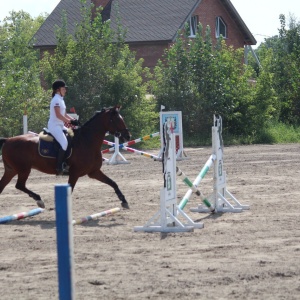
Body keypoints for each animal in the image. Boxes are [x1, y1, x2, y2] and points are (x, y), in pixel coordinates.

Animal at [0, 105, 131, 209]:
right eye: (116, 120)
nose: (127, 136)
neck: (87, 142)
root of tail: (8, 140)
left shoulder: (94, 172)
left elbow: (113, 183)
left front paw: (124, 201)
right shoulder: (75, 173)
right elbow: (70, 189)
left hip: (11, 170)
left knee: (3, 185)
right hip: (23, 169)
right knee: (19, 185)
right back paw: (39, 200)